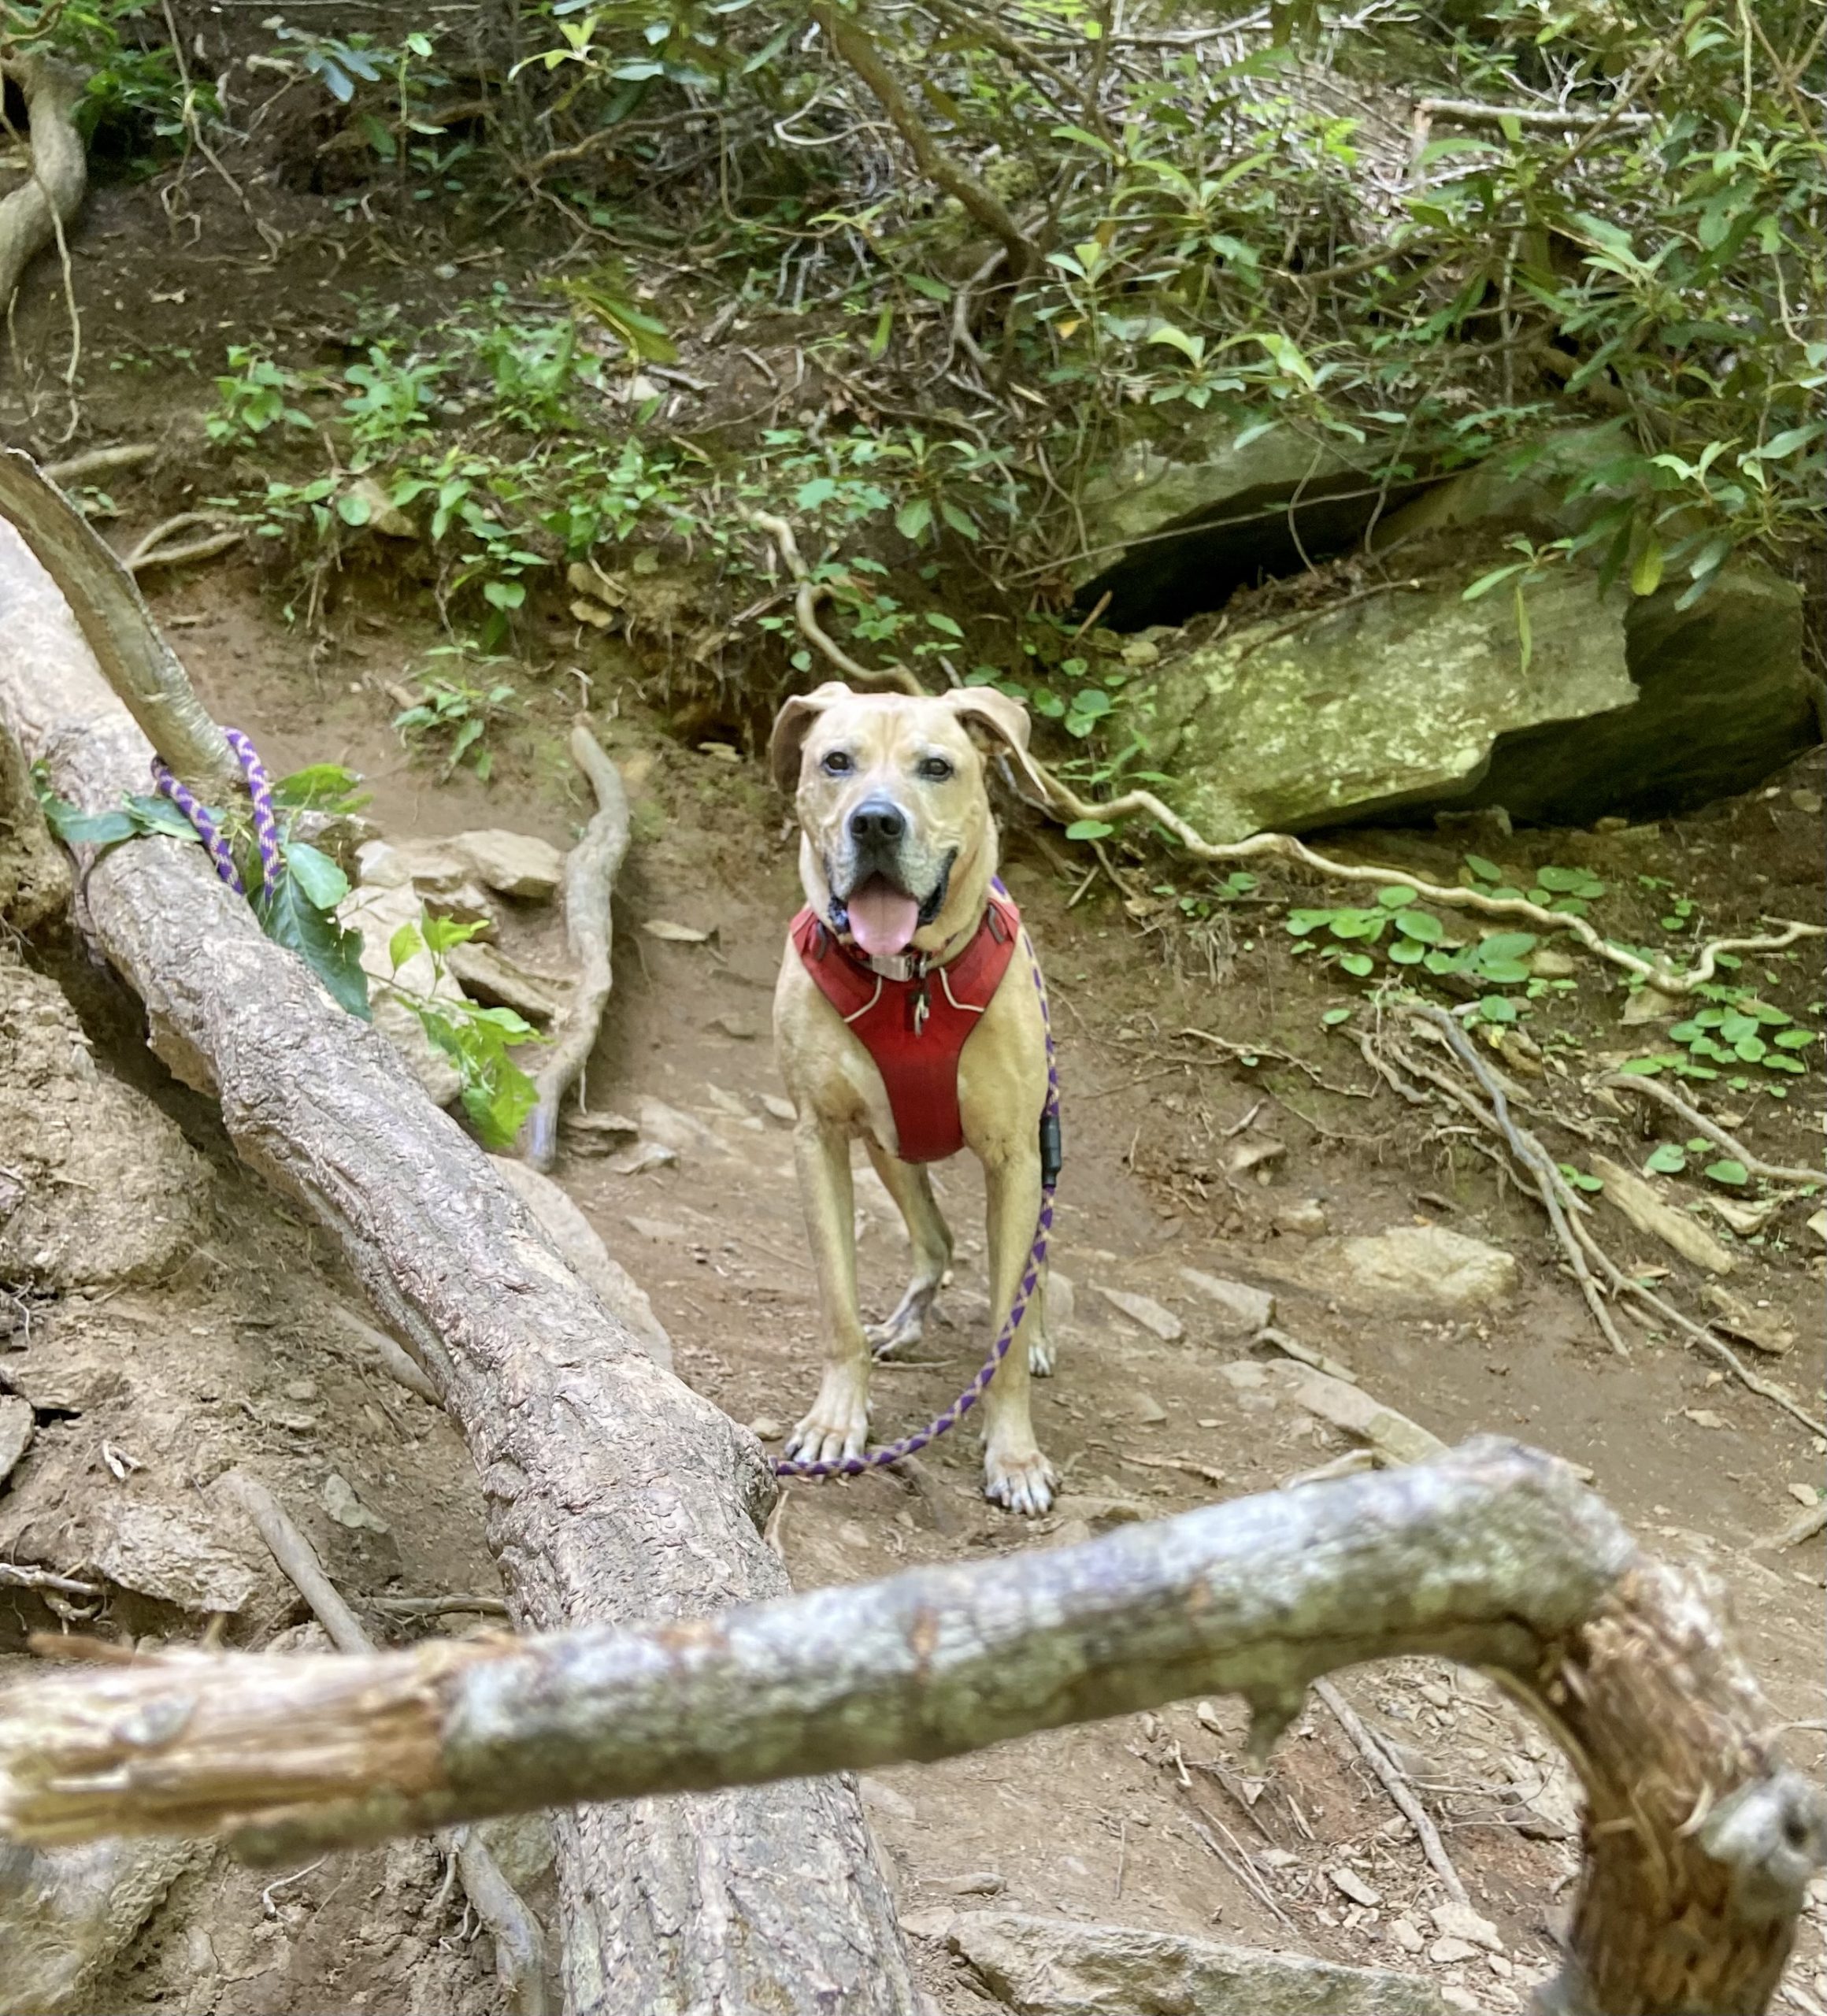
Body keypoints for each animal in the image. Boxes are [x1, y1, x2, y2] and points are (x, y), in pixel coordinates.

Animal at [770, 677, 1056, 1516]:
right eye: (836, 761)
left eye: (937, 767)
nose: (874, 820)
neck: (910, 985)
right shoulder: (821, 1138)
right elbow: (837, 1306)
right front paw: (838, 1421)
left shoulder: (1016, 1158)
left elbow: (1008, 1326)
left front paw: (1014, 1455)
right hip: (890, 1150)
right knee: (937, 1238)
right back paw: (903, 1322)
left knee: (1032, 1265)